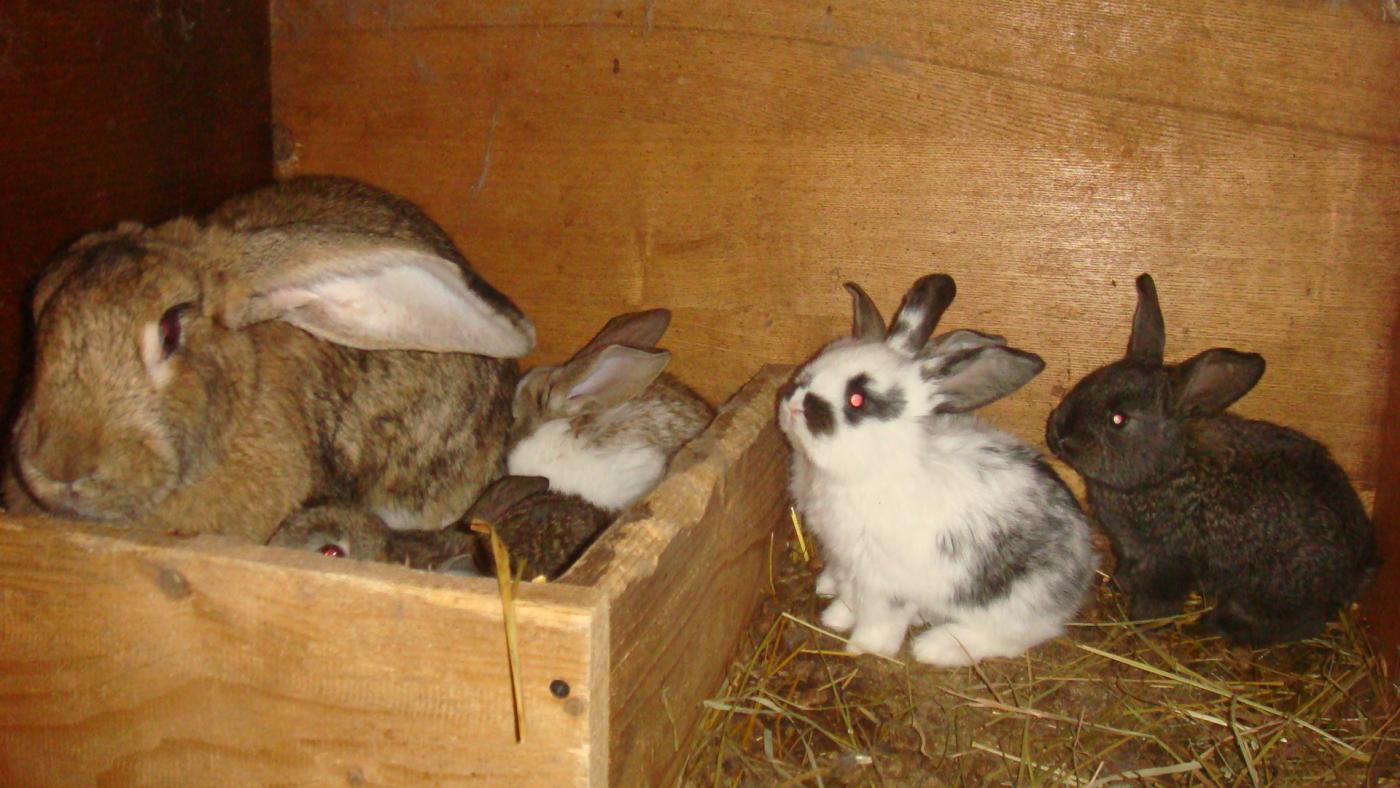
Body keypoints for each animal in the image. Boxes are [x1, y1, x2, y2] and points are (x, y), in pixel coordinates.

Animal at [778, 274, 1096, 667]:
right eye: (816, 366)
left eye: (857, 399)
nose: (795, 404)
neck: (876, 467)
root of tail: (1085, 567)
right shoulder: (845, 561)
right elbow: (848, 597)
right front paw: (834, 615)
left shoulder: (884, 583)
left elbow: (880, 621)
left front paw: (864, 648)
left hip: (1011, 603)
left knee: (1017, 636)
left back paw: (934, 646)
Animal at [1045, 273, 1380, 645]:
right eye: (1090, 380)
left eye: (1118, 420)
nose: (1057, 433)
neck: (1165, 472)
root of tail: (1358, 572)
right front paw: (1122, 584)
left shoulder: (1169, 562)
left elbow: (1160, 599)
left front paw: (1138, 623)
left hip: (1272, 589)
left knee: (1301, 624)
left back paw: (1220, 625)